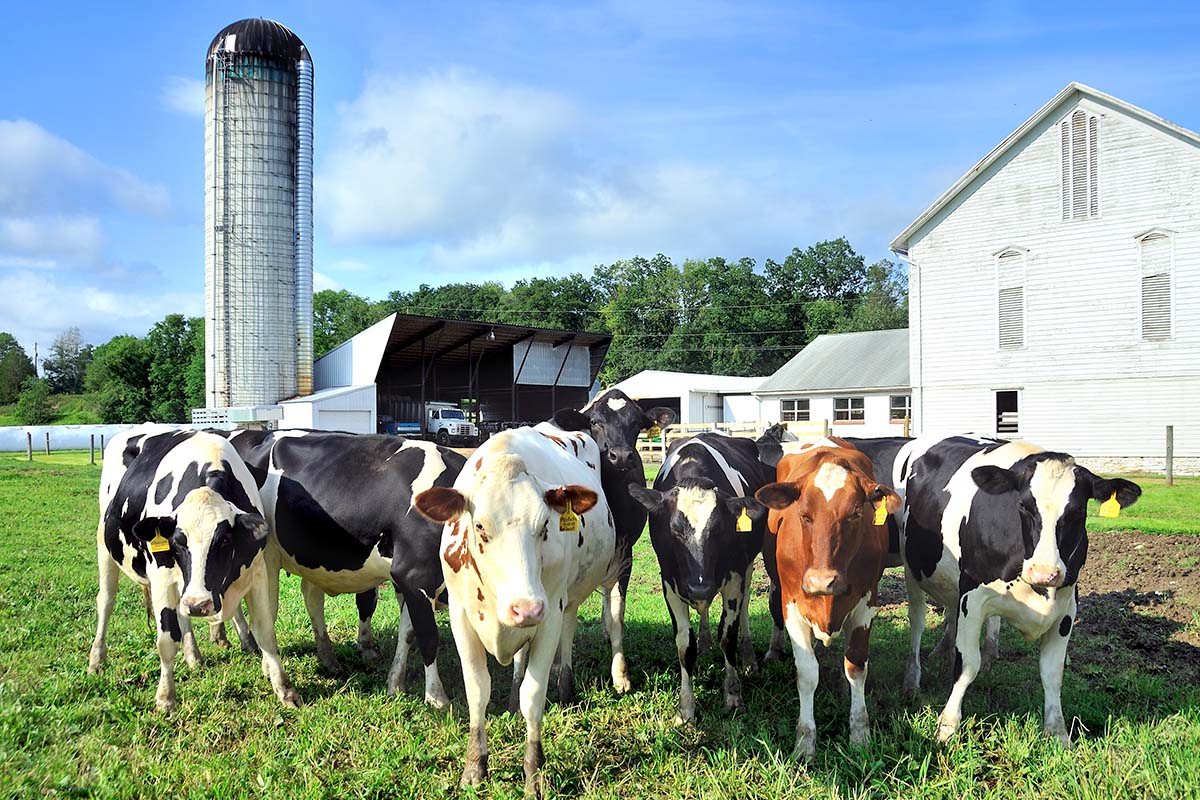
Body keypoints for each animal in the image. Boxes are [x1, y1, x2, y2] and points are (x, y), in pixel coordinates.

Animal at [88, 429, 300, 710]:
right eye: (178, 541)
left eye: (224, 540)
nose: (199, 605)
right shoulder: (162, 577)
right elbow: (167, 641)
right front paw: (165, 697)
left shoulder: (257, 573)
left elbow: (266, 632)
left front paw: (285, 690)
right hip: (104, 545)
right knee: (106, 602)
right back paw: (96, 660)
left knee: (182, 614)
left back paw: (193, 655)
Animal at [415, 429, 619, 796]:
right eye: (480, 527)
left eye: (544, 526)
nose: (526, 608)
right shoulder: (460, 616)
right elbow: (477, 691)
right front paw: (474, 768)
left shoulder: (550, 614)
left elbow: (533, 696)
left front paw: (534, 775)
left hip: (571, 596)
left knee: (568, 631)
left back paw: (566, 689)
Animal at [549, 388, 676, 700]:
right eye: (595, 422)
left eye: (637, 423)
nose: (620, 456)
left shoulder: (624, 556)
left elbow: (615, 617)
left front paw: (621, 675)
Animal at [753, 443, 897, 762]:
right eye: (804, 515)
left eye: (856, 513)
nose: (822, 581)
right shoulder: (792, 606)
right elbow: (807, 673)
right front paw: (805, 742)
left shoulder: (867, 603)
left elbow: (856, 666)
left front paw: (860, 734)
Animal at [897, 434, 1137, 748]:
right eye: (1024, 506)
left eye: (1078, 511)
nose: (1044, 572)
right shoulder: (972, 596)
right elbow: (967, 665)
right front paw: (947, 726)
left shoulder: (1066, 609)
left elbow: (1052, 672)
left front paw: (1058, 733)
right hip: (912, 569)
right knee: (917, 623)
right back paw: (912, 680)